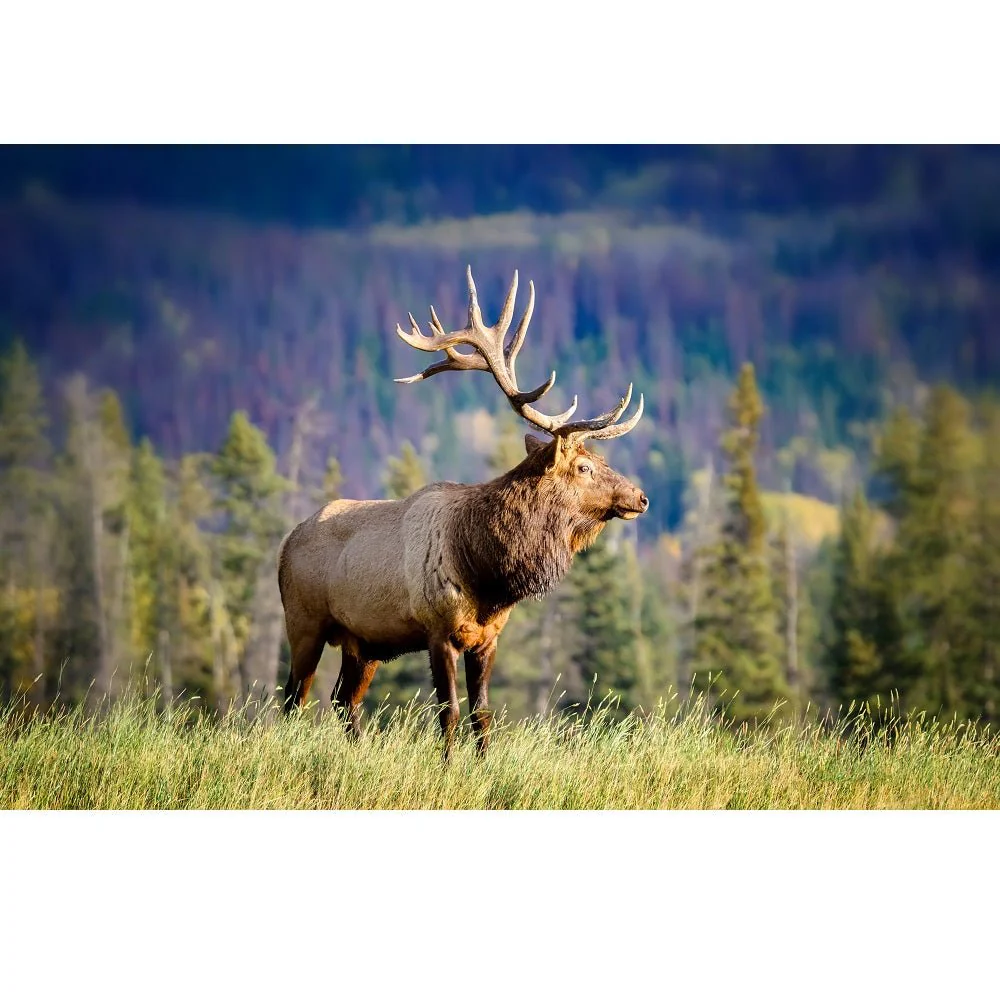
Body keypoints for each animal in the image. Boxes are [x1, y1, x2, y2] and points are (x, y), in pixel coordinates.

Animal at [277, 266, 648, 757]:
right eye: (585, 466)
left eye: (602, 460)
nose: (640, 497)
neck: (485, 573)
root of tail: (285, 544)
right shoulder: (437, 629)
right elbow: (449, 712)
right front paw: (448, 765)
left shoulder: (487, 638)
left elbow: (483, 713)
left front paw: (484, 762)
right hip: (303, 621)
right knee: (292, 698)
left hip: (363, 642)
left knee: (343, 699)